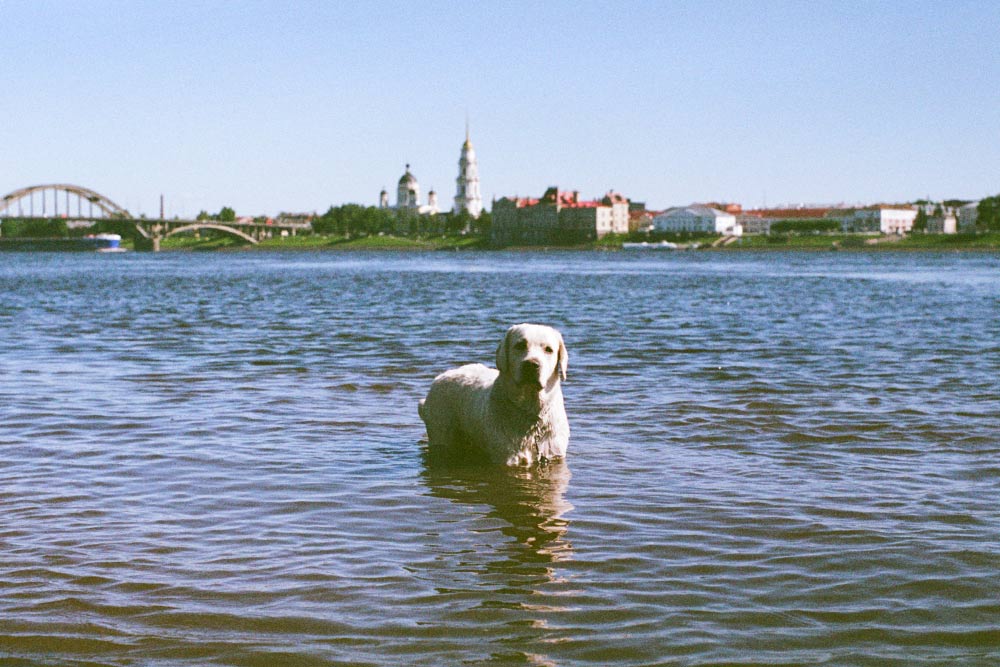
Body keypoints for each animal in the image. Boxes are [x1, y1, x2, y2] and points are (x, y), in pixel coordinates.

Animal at [416, 324, 572, 464]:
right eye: (520, 345)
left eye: (549, 350)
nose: (531, 365)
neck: (531, 410)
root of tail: (439, 377)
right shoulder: (506, 457)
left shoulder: (554, 455)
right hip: (441, 432)